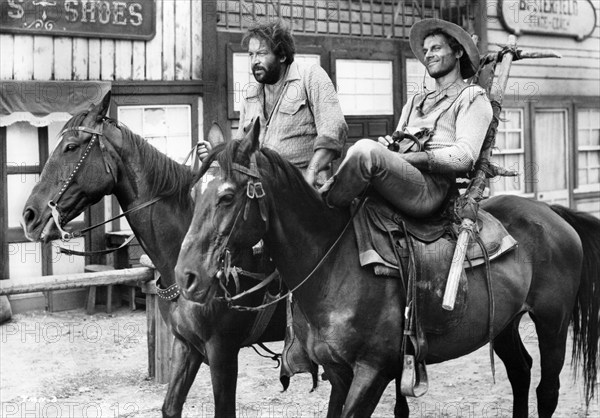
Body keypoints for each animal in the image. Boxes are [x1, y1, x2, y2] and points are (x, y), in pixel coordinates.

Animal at [177, 119, 600, 416]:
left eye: (227, 196)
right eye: (193, 193)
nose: (186, 276)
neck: (333, 263)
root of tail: (551, 213)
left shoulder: (373, 372)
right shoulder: (338, 373)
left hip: (552, 322)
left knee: (547, 389)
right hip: (505, 322)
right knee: (521, 371)